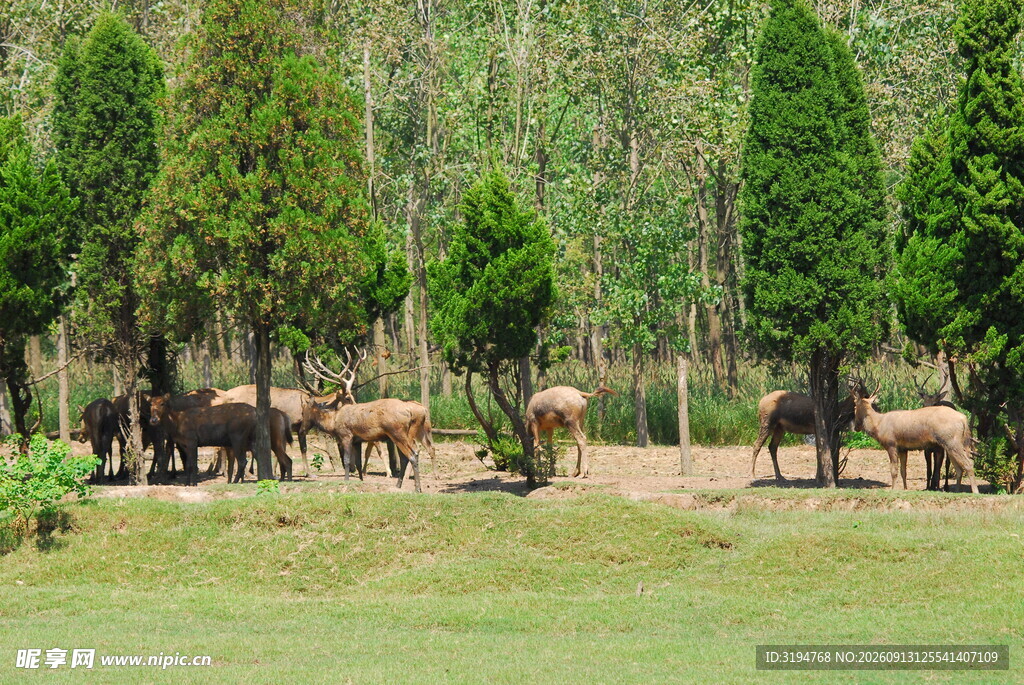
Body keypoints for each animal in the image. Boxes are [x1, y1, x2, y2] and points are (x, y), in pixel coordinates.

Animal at [149, 396, 293, 486]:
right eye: (150, 404)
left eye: (162, 403)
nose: (153, 420)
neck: (176, 424)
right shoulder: (184, 444)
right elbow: (188, 465)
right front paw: (187, 484)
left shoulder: (192, 441)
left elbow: (193, 465)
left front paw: (193, 483)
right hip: (253, 441)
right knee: (266, 459)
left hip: (238, 437)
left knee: (244, 461)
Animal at [304, 349, 425, 492]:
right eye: (348, 397)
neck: (333, 422)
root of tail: (409, 411)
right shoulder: (357, 440)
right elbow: (358, 462)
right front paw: (361, 480)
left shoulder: (346, 435)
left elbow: (347, 460)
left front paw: (346, 481)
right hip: (402, 435)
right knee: (405, 457)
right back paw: (398, 485)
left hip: (397, 432)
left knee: (413, 454)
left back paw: (417, 488)